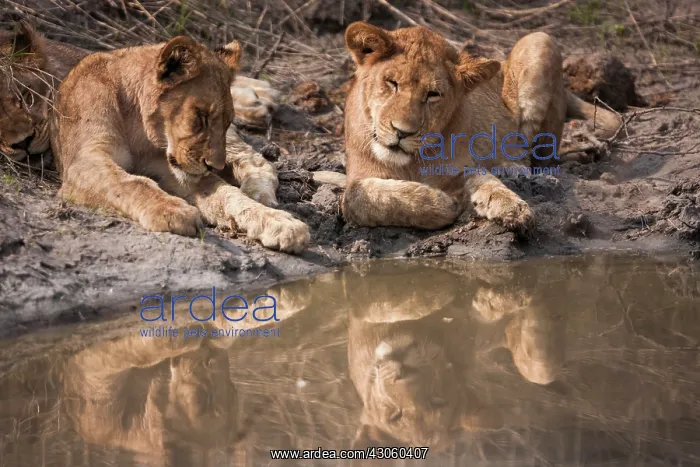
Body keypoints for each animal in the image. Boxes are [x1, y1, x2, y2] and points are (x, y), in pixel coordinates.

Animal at [49, 35, 309, 253]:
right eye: (201, 116)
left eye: (226, 122)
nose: (214, 166)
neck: (138, 128)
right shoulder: (84, 161)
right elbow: (131, 182)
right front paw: (172, 209)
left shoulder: (174, 169)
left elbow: (228, 195)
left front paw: (278, 222)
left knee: (260, 163)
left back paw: (260, 194)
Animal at [340, 23, 622, 231]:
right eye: (392, 83)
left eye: (433, 95)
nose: (402, 132)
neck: (409, 162)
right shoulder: (358, 179)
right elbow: (357, 197)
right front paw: (438, 204)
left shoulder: (461, 167)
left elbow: (486, 182)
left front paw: (511, 207)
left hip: (539, 41)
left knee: (532, 156)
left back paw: (513, 170)